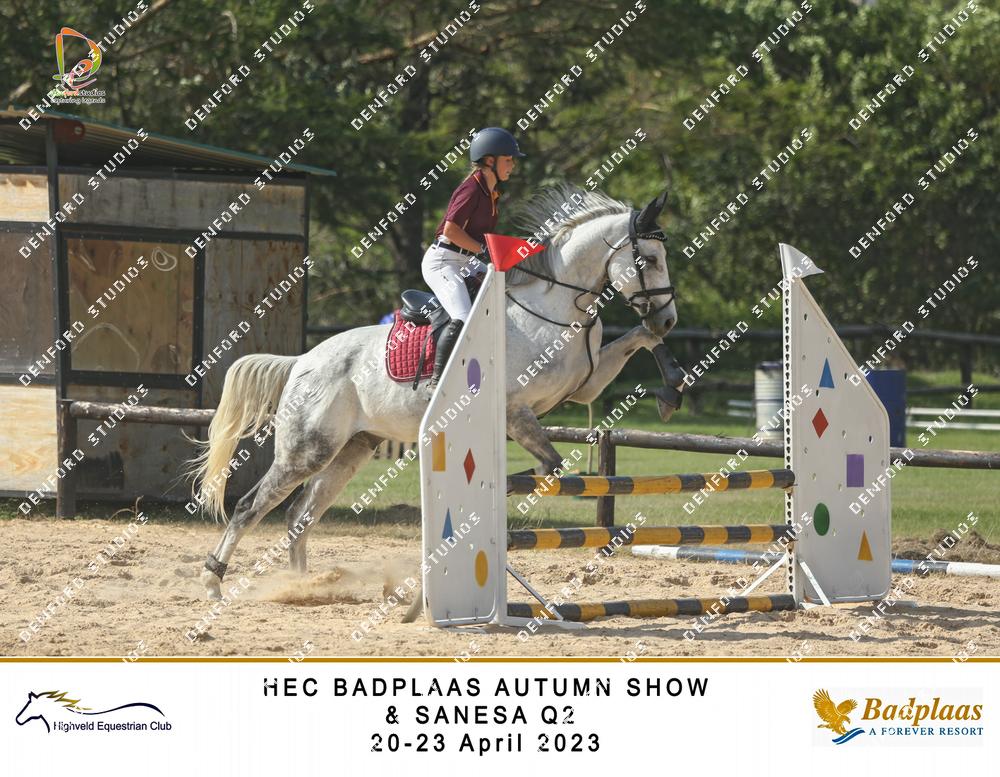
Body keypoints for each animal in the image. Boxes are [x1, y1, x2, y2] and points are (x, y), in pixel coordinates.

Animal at [191, 185, 680, 600]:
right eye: (649, 258)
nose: (670, 319)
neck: (554, 308)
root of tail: (302, 362)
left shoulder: (585, 388)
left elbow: (641, 338)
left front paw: (671, 389)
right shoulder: (515, 410)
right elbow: (549, 467)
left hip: (352, 448)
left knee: (299, 515)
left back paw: (302, 587)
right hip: (308, 450)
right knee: (250, 507)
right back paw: (213, 582)